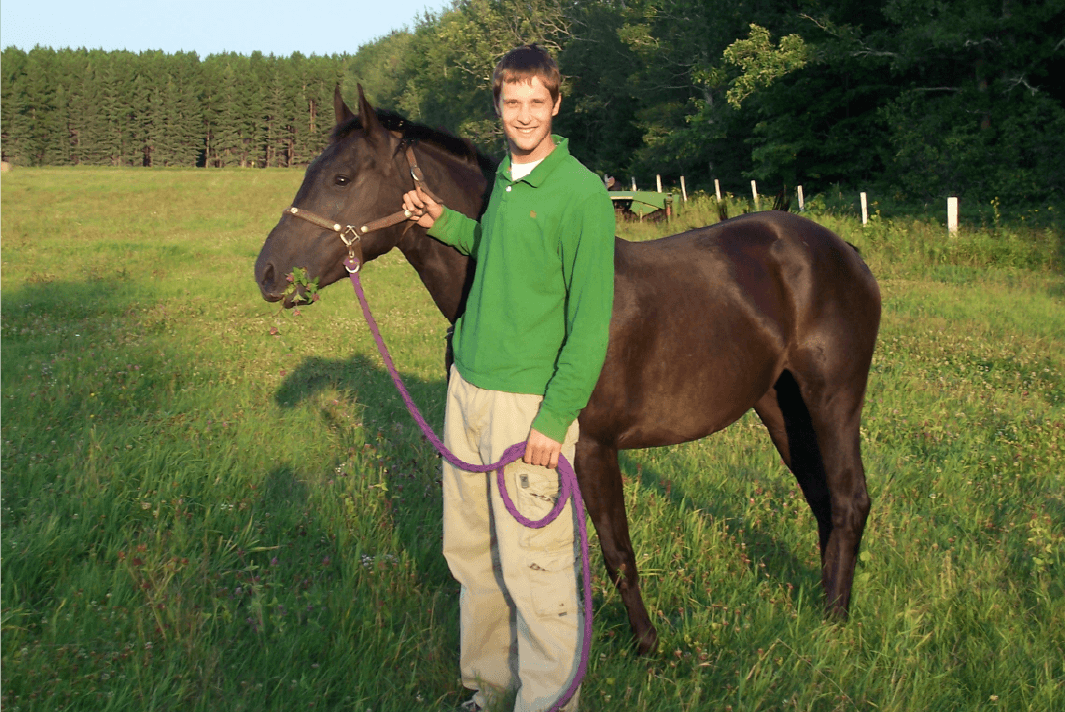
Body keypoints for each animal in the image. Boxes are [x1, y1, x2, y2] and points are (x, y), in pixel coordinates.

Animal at [255, 87, 882, 655]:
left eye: (342, 179)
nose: (267, 272)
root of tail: (842, 250)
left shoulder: (595, 449)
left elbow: (616, 551)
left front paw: (647, 646)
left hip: (833, 401)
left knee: (849, 498)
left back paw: (834, 620)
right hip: (779, 405)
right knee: (821, 498)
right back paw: (827, 601)